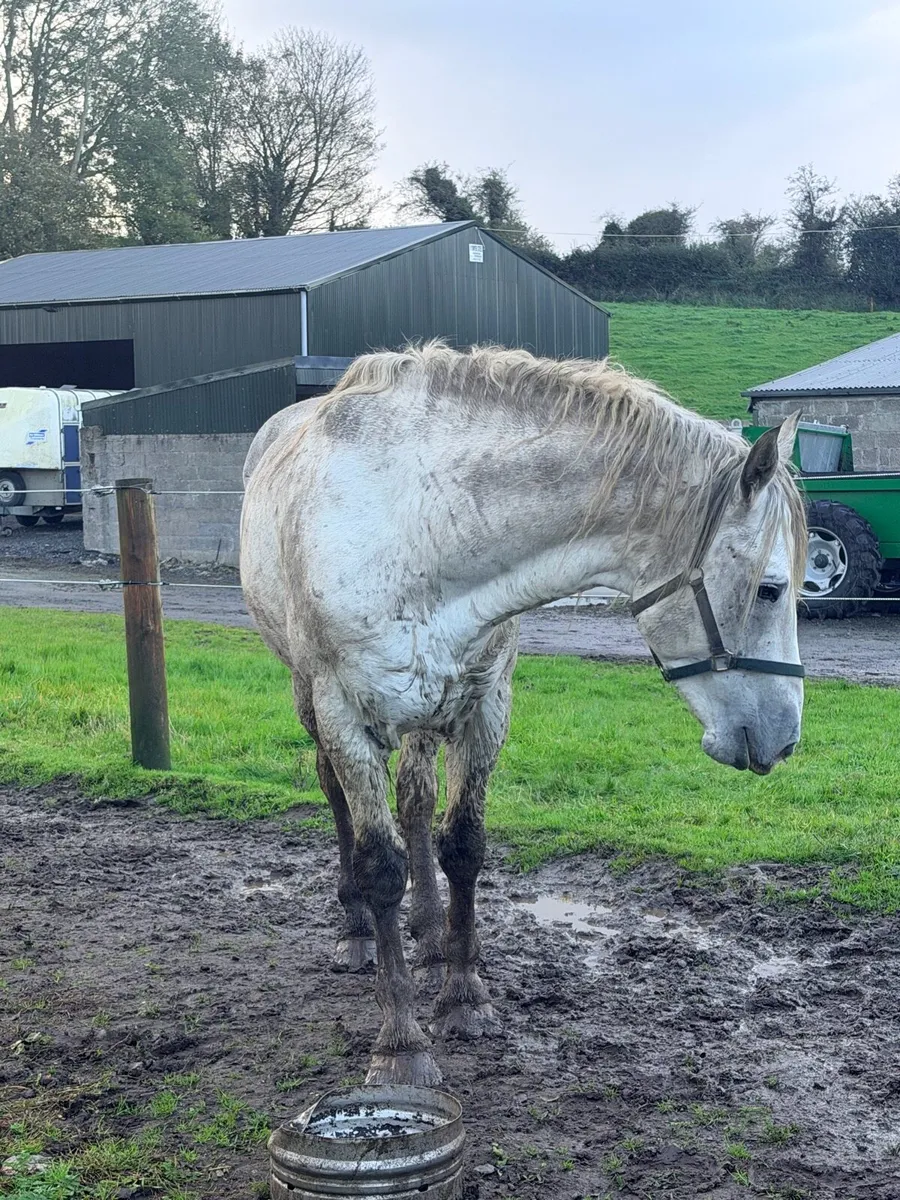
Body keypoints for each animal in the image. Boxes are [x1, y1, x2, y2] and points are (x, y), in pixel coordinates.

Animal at [240, 342, 805, 1088]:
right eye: (770, 589)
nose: (785, 736)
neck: (419, 525)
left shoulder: (483, 710)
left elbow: (463, 846)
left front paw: (462, 994)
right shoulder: (346, 715)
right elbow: (381, 865)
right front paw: (401, 1042)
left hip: (425, 718)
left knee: (415, 800)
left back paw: (430, 937)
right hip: (312, 699)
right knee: (337, 797)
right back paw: (359, 931)